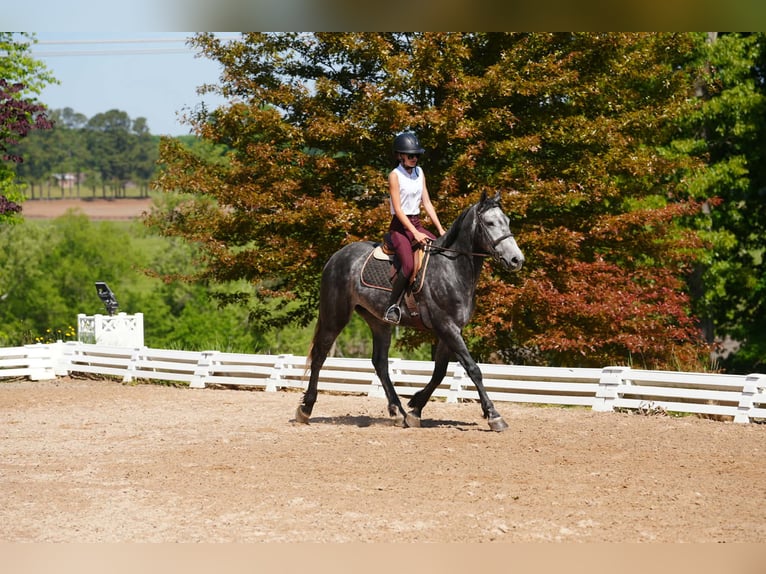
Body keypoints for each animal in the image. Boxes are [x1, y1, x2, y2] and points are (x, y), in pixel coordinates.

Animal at [295, 191, 524, 431]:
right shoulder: (446, 326)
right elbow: (473, 369)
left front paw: (415, 409)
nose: (517, 260)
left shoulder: (450, 330)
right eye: (489, 223)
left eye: (507, 221)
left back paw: (398, 412)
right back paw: (305, 409)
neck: (451, 268)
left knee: (380, 363)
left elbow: (439, 372)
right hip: (335, 316)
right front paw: (494, 415)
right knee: (320, 355)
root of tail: (337, 256)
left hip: (379, 322)